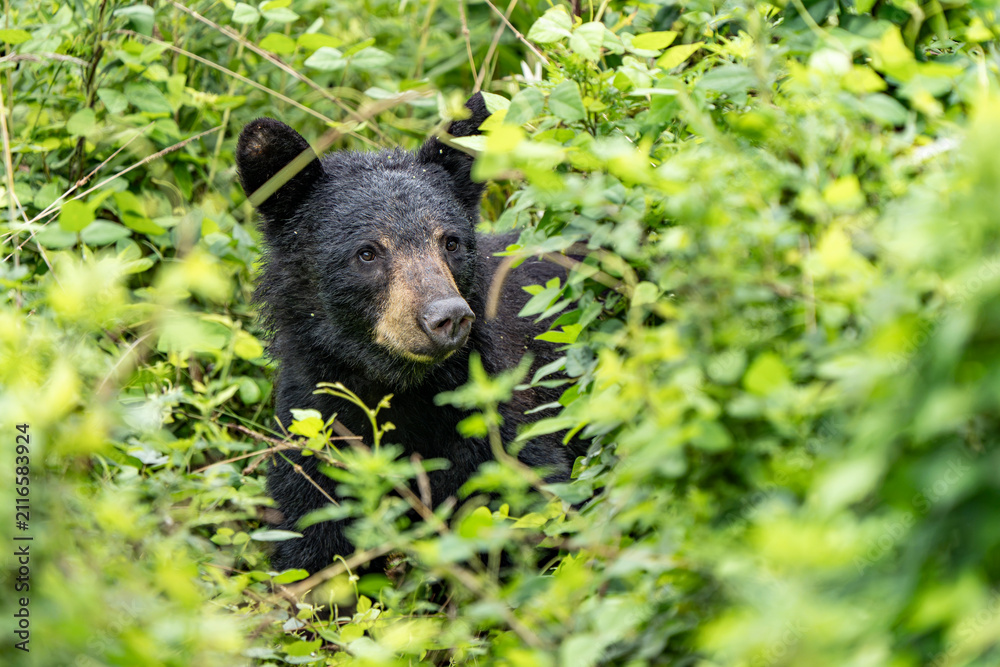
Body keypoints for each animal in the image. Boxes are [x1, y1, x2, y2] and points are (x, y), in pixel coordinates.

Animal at [236, 93, 577, 575]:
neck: (398, 389)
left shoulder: (497, 418)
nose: (447, 316)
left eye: (450, 242)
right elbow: (311, 541)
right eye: (367, 252)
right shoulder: (314, 428)